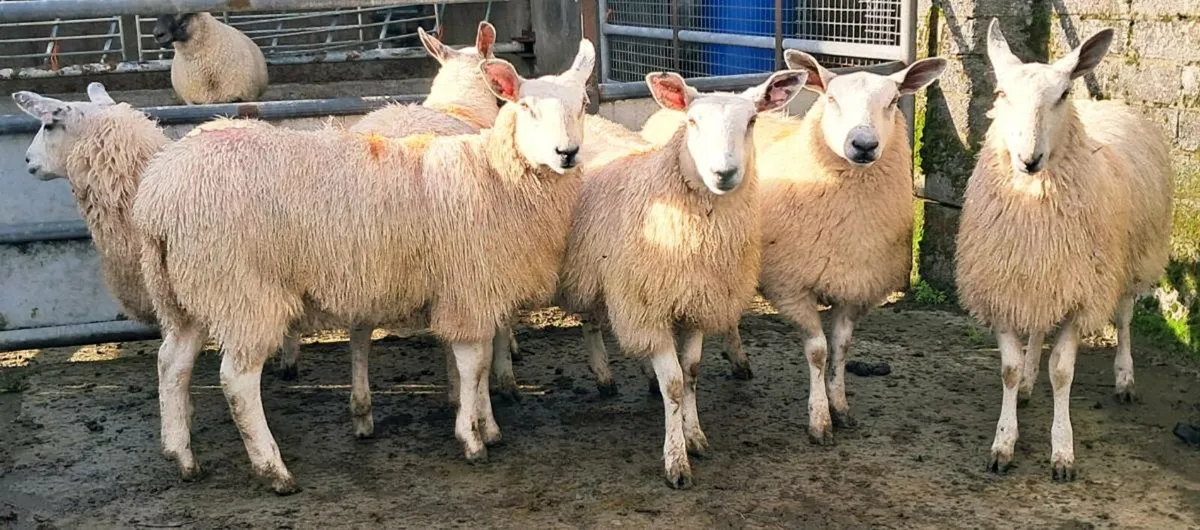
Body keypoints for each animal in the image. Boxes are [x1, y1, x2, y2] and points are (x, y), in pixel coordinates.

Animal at [131, 41, 596, 494]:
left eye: (582, 105)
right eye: (527, 107)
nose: (567, 153)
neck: (496, 174)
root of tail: (158, 199)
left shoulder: (478, 289)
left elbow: (477, 365)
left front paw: (487, 424)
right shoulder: (469, 287)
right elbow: (472, 363)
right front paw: (472, 438)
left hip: (189, 292)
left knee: (171, 364)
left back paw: (182, 456)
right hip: (241, 288)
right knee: (236, 380)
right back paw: (273, 470)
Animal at [556, 70, 807, 488]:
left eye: (752, 121)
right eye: (692, 122)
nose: (724, 173)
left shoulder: (696, 301)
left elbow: (689, 374)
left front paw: (695, 436)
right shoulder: (649, 307)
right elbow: (673, 384)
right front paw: (676, 460)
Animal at [956, 20, 1172, 481]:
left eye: (1063, 94)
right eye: (1001, 93)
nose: (1029, 159)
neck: (1033, 204)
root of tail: (1107, 104)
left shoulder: (1082, 295)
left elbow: (1062, 371)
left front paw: (1062, 451)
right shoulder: (1005, 289)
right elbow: (1008, 368)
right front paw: (1004, 441)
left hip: (1129, 264)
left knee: (1124, 318)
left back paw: (1125, 378)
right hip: (1046, 279)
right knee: (1038, 328)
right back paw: (1027, 385)